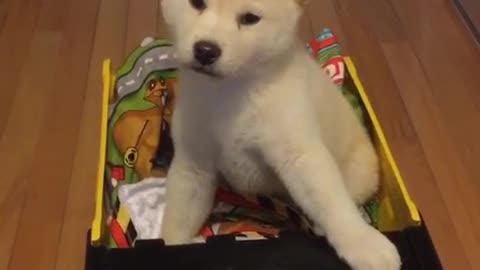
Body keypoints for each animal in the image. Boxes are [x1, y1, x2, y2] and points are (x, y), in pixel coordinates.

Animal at [160, 1, 402, 268]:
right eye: (197, 4)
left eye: (250, 19)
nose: (205, 50)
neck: (229, 91)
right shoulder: (194, 164)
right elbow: (178, 217)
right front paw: (169, 245)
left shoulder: (298, 155)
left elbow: (331, 202)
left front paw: (361, 242)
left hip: (359, 171)